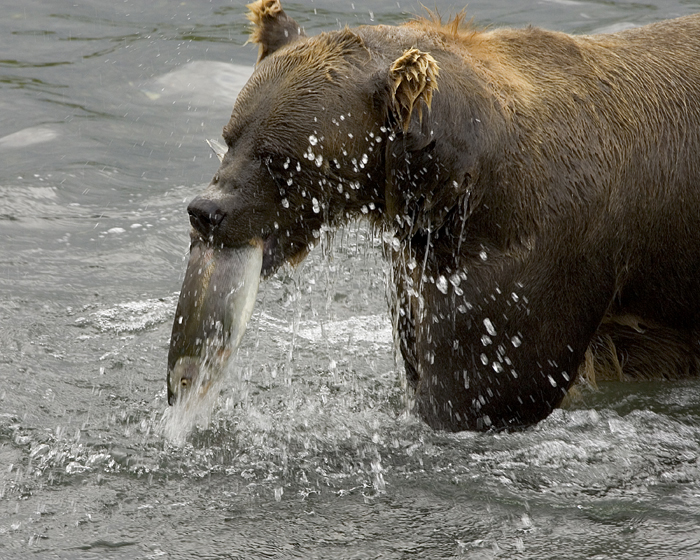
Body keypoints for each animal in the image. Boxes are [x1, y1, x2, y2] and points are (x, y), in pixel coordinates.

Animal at [165, 0, 700, 430]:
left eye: (280, 160)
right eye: (230, 137)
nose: (206, 211)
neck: (456, 191)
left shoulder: (532, 259)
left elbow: (480, 389)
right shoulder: (423, 268)